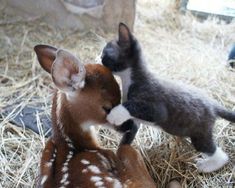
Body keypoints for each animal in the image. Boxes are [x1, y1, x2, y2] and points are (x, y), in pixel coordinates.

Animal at [101, 22, 235, 173]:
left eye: (105, 53)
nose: (100, 57)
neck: (130, 78)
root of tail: (213, 104)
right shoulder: (135, 122)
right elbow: (127, 139)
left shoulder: (157, 108)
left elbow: (134, 106)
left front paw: (115, 114)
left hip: (200, 133)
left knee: (216, 152)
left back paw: (209, 165)